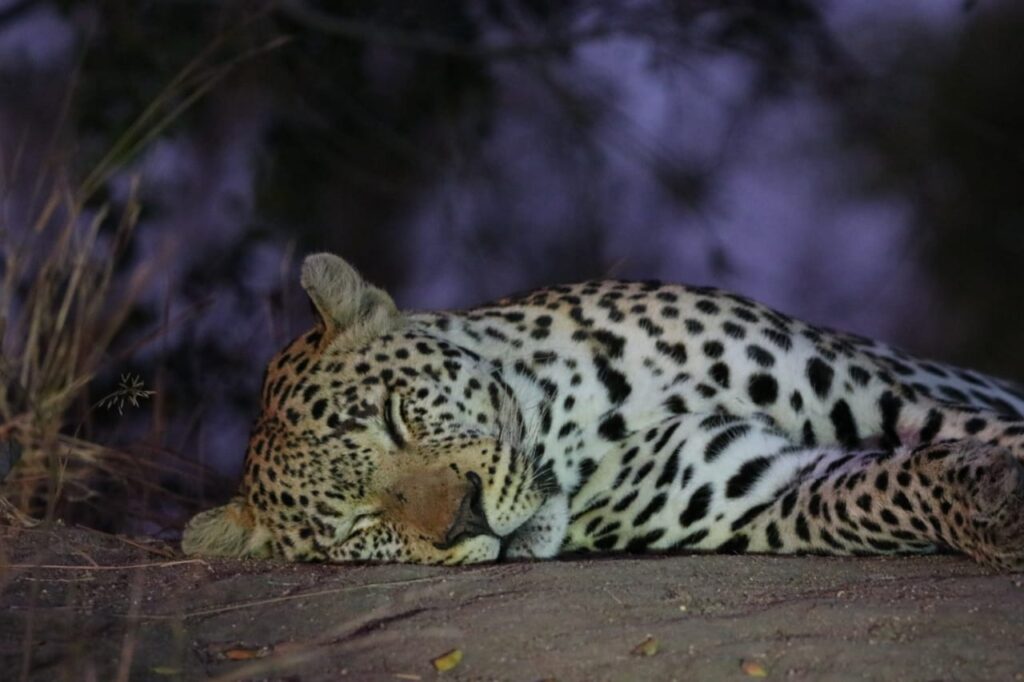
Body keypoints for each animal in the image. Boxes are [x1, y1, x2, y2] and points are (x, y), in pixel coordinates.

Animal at [182, 253, 1024, 571]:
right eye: (358, 528)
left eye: (395, 416)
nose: (465, 519)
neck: (579, 421)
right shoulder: (766, 490)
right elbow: (882, 490)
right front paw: (987, 508)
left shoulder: (874, 393)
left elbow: (973, 429)